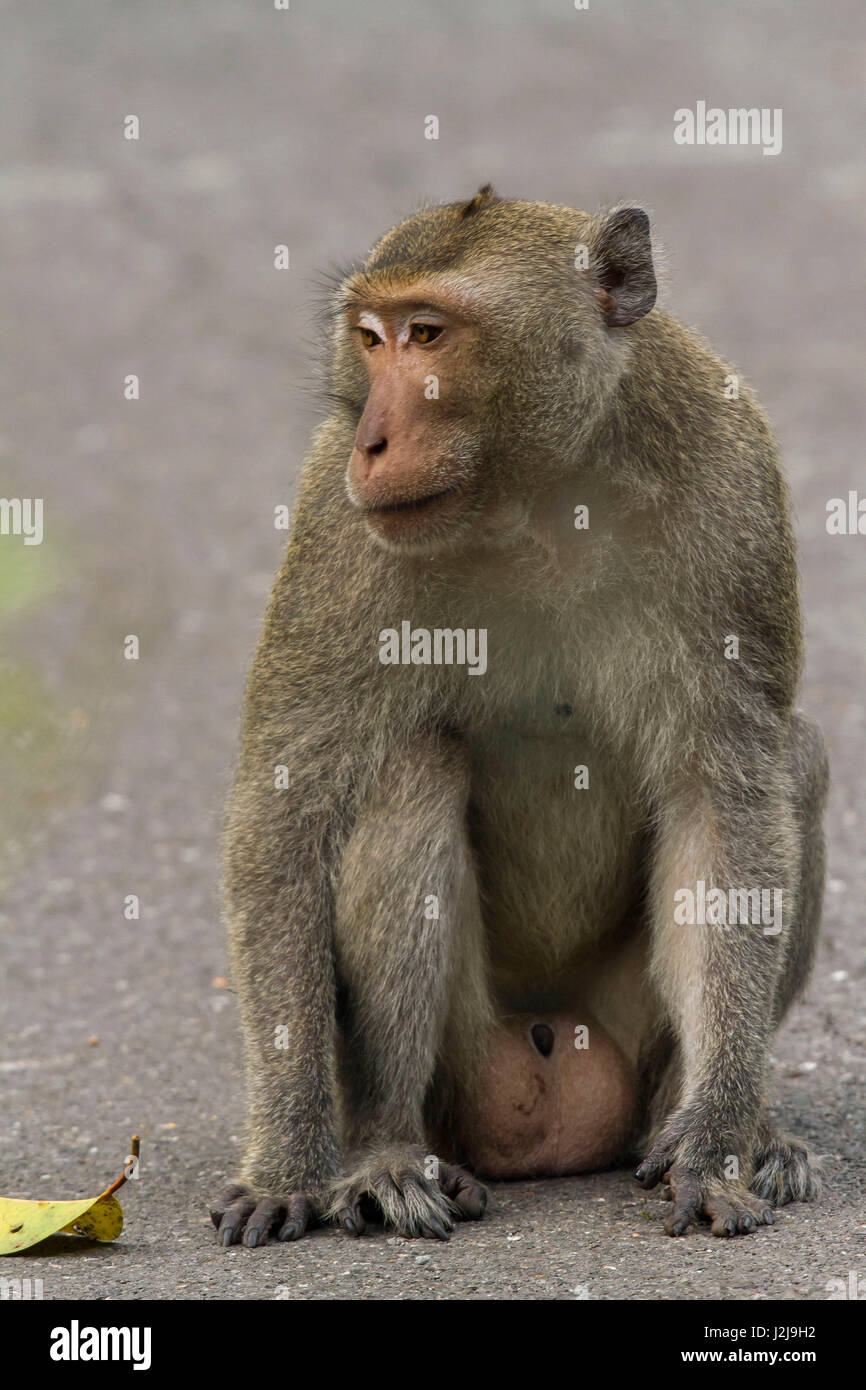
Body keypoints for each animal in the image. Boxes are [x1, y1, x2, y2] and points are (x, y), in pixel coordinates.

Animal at [211, 185, 828, 1247]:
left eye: (428, 334)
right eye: (370, 338)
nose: (373, 439)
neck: (534, 493)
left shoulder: (732, 483)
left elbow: (725, 797)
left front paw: (715, 1142)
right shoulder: (336, 523)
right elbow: (285, 808)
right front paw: (287, 1162)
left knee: (800, 761)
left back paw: (719, 1122)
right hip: (465, 1059)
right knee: (412, 769)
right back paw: (384, 1149)